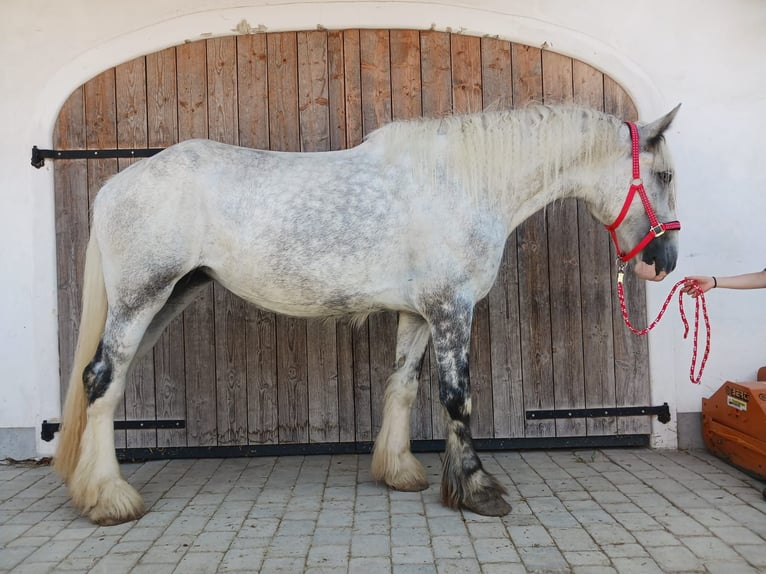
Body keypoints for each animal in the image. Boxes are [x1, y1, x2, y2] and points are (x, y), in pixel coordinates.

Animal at [54, 104, 681, 525]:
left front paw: (400, 472)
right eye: (666, 175)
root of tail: (116, 185)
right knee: (102, 381)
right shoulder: (452, 309)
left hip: (167, 299)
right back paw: (109, 500)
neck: (463, 182)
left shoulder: (420, 314)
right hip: (141, 298)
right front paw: (478, 490)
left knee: (108, 382)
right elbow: (458, 398)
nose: (664, 261)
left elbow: (402, 386)